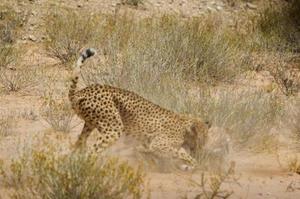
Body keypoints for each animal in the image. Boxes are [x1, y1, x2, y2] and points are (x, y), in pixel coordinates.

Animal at [70, 47, 211, 169]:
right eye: (203, 138)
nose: (201, 148)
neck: (186, 126)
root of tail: (81, 92)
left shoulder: (147, 144)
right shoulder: (158, 144)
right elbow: (179, 153)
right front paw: (194, 163)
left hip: (90, 124)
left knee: (78, 144)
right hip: (114, 128)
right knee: (92, 151)